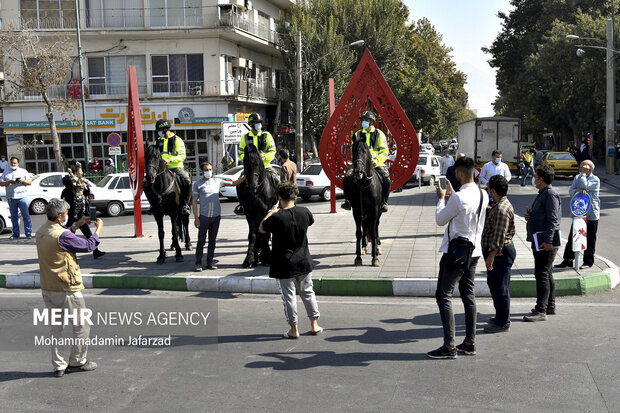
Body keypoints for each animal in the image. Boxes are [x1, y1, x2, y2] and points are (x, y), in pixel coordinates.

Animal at [344, 138, 382, 268]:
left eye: (365, 151)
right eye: (353, 151)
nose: (358, 171)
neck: (363, 185)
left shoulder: (374, 211)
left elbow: (374, 232)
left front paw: (375, 258)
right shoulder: (356, 211)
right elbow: (359, 233)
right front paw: (358, 258)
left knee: (375, 227)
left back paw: (377, 249)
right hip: (363, 213)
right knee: (365, 227)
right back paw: (363, 248)